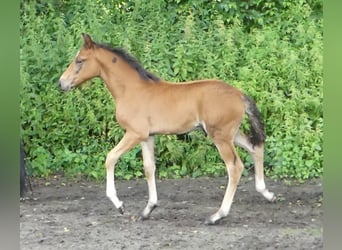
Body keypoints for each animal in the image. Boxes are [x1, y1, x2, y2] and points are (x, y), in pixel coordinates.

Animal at [58, 33, 276, 225]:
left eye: (80, 60)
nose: (61, 83)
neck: (131, 90)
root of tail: (239, 94)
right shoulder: (147, 137)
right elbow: (149, 168)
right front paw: (148, 210)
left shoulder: (134, 133)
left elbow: (110, 157)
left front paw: (119, 205)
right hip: (230, 134)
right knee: (255, 147)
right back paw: (267, 193)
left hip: (220, 137)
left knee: (235, 167)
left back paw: (216, 216)